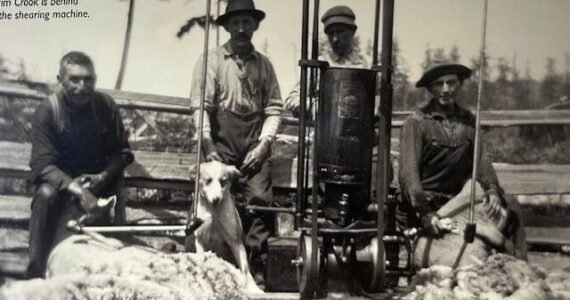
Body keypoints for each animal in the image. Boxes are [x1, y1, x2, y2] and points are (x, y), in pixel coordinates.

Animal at [192, 161, 260, 294]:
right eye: (208, 180)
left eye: (223, 181)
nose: (216, 199)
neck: (214, 212)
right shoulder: (200, 238)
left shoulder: (235, 240)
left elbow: (245, 267)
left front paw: (253, 288)